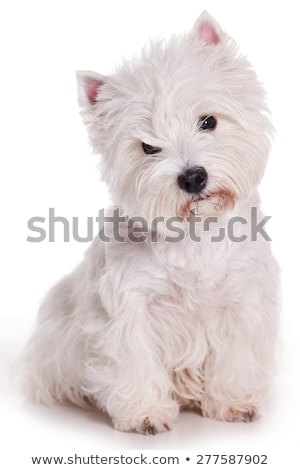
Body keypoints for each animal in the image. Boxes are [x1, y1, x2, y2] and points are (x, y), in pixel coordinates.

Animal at [22, 11, 280, 436]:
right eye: (147, 147)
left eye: (208, 121)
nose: (193, 177)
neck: (194, 235)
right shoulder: (129, 306)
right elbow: (134, 358)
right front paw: (145, 414)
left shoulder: (242, 299)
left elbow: (236, 356)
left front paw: (233, 403)